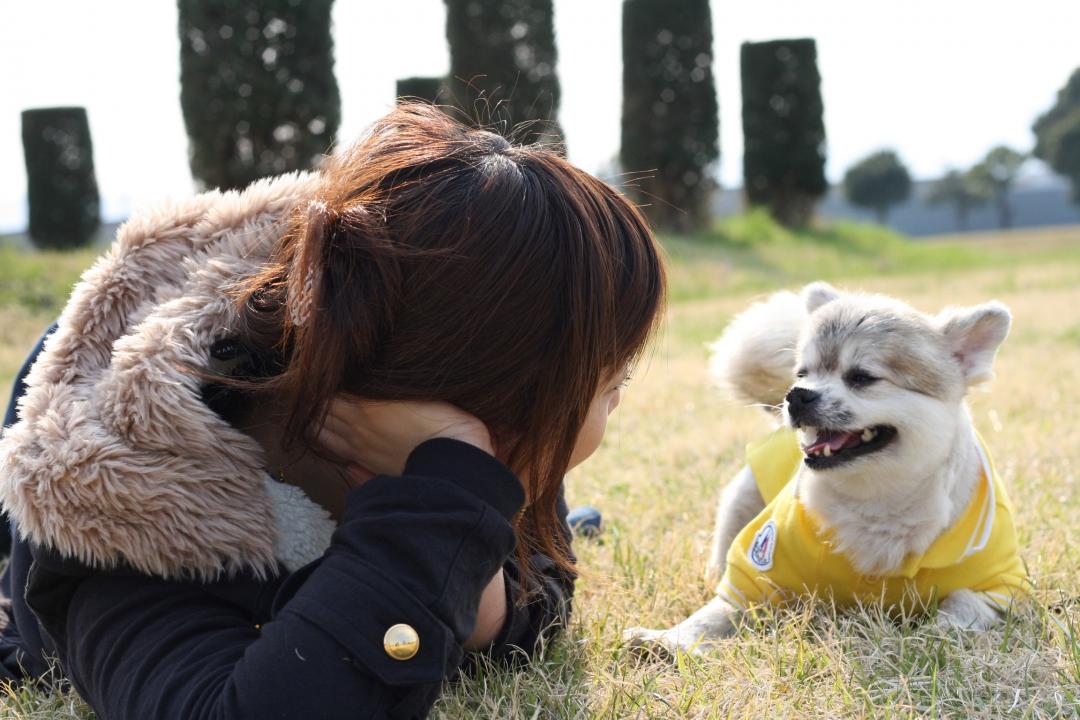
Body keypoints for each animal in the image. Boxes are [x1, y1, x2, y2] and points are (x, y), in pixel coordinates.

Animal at [626, 284, 1028, 656]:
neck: (876, 500)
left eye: (862, 377)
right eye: (803, 373)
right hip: (741, 503)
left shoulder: (999, 585)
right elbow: (713, 614)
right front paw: (667, 639)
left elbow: (963, 602)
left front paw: (934, 634)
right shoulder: (755, 571)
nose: (796, 395)